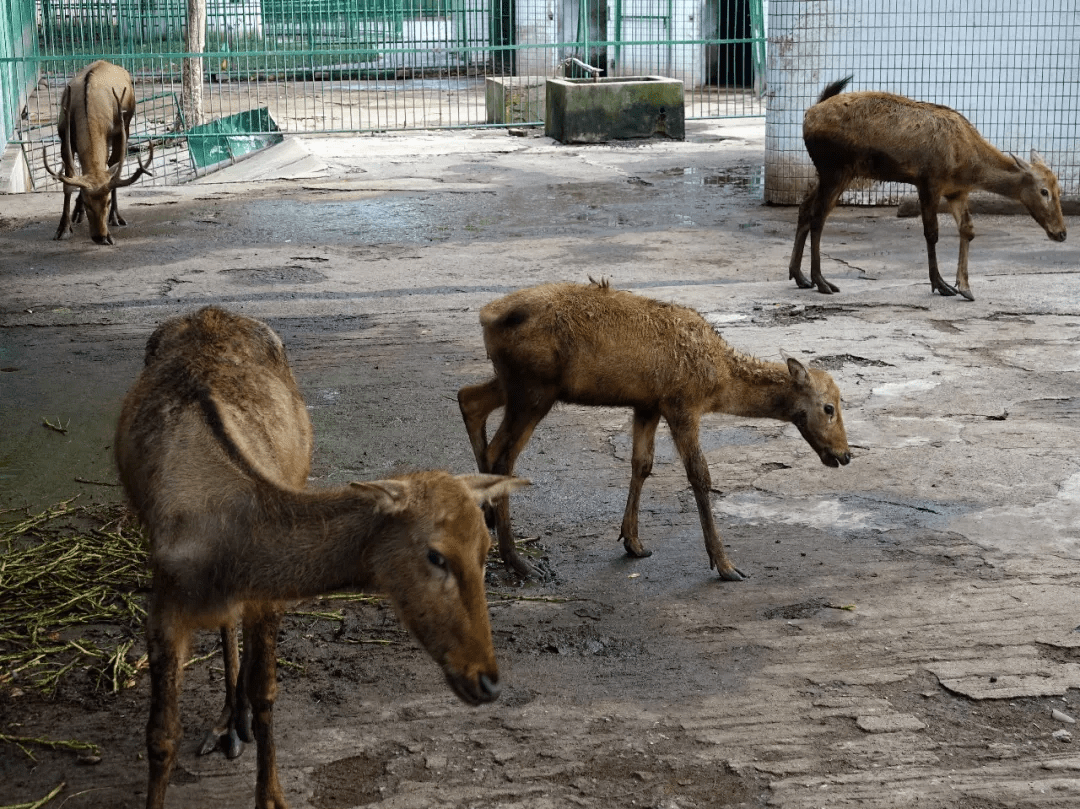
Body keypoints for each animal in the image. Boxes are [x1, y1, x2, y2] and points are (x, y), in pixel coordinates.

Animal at [44, 59, 153, 244]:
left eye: (107, 202)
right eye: (88, 203)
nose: (100, 236)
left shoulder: (116, 133)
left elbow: (111, 168)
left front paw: (113, 218)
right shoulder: (64, 138)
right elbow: (68, 184)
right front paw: (63, 228)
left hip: (126, 125)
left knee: (111, 164)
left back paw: (116, 218)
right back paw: (77, 213)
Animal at [116, 304, 524, 807]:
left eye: (487, 551)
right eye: (436, 556)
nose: (488, 680)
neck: (224, 554)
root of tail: (212, 311)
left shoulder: (268, 596)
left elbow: (267, 693)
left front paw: (271, 795)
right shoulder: (163, 605)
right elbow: (160, 736)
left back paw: (237, 720)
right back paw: (227, 721)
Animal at [455, 278, 851, 578]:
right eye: (829, 407)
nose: (845, 455)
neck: (719, 381)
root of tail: (487, 316)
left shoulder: (647, 404)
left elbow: (641, 464)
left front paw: (633, 542)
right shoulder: (682, 404)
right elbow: (699, 476)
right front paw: (724, 564)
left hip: (515, 383)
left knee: (469, 401)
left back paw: (487, 517)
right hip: (535, 389)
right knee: (503, 454)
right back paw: (517, 561)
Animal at [790, 76, 1067, 300]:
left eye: (1059, 189)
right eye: (1044, 191)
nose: (1061, 233)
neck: (969, 164)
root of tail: (807, 116)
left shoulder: (956, 191)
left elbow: (968, 230)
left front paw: (965, 286)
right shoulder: (929, 181)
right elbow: (932, 233)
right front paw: (941, 284)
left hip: (829, 172)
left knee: (804, 208)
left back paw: (799, 276)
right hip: (836, 169)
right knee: (818, 216)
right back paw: (821, 281)